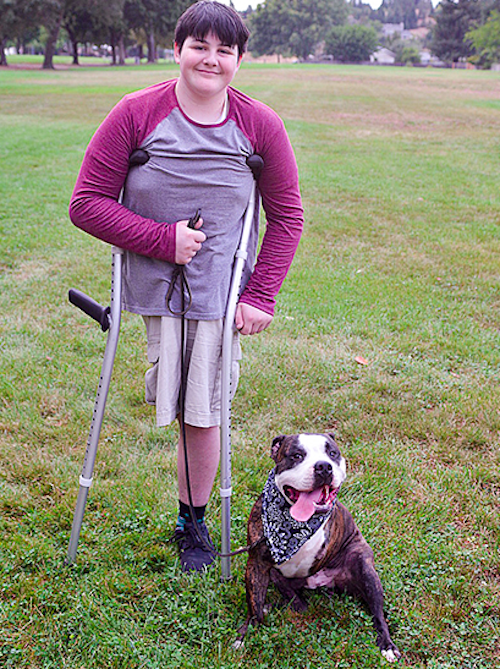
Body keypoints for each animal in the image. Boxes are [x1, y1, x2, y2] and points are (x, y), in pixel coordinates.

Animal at [235, 434, 402, 664]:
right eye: (296, 455)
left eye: (332, 453)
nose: (323, 466)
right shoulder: (257, 564)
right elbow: (254, 602)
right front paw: (246, 633)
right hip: (278, 578)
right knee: (297, 604)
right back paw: (271, 607)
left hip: (365, 567)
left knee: (378, 614)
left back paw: (387, 644)